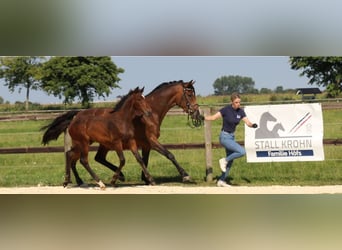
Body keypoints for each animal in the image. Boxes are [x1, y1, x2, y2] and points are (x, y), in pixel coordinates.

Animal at [41, 80, 200, 186]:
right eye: (190, 93)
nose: (197, 114)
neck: (152, 112)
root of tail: (76, 115)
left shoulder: (144, 144)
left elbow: (144, 160)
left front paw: (146, 179)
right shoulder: (151, 140)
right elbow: (169, 154)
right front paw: (186, 176)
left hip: (94, 143)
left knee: (82, 157)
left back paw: (81, 181)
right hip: (88, 143)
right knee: (81, 158)